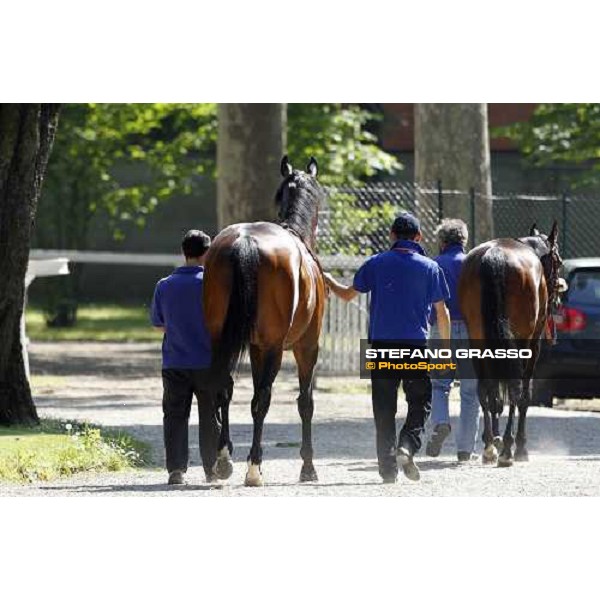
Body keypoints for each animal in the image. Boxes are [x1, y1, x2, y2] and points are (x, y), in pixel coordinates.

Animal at [203, 156, 326, 488]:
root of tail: (245, 242)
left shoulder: (257, 348)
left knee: (223, 388)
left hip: (221, 339)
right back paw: (254, 468)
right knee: (261, 400)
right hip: (275, 348)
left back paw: (224, 460)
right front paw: (308, 466)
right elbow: (305, 402)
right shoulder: (306, 347)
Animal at [460, 223, 564, 466]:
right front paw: (519, 446)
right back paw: (509, 448)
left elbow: (494, 395)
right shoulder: (533, 346)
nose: (557, 300)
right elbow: (524, 394)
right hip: (520, 343)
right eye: (558, 262)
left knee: (485, 390)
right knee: (516, 391)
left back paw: (491, 446)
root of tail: (495, 255)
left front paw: (494, 441)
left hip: (478, 341)